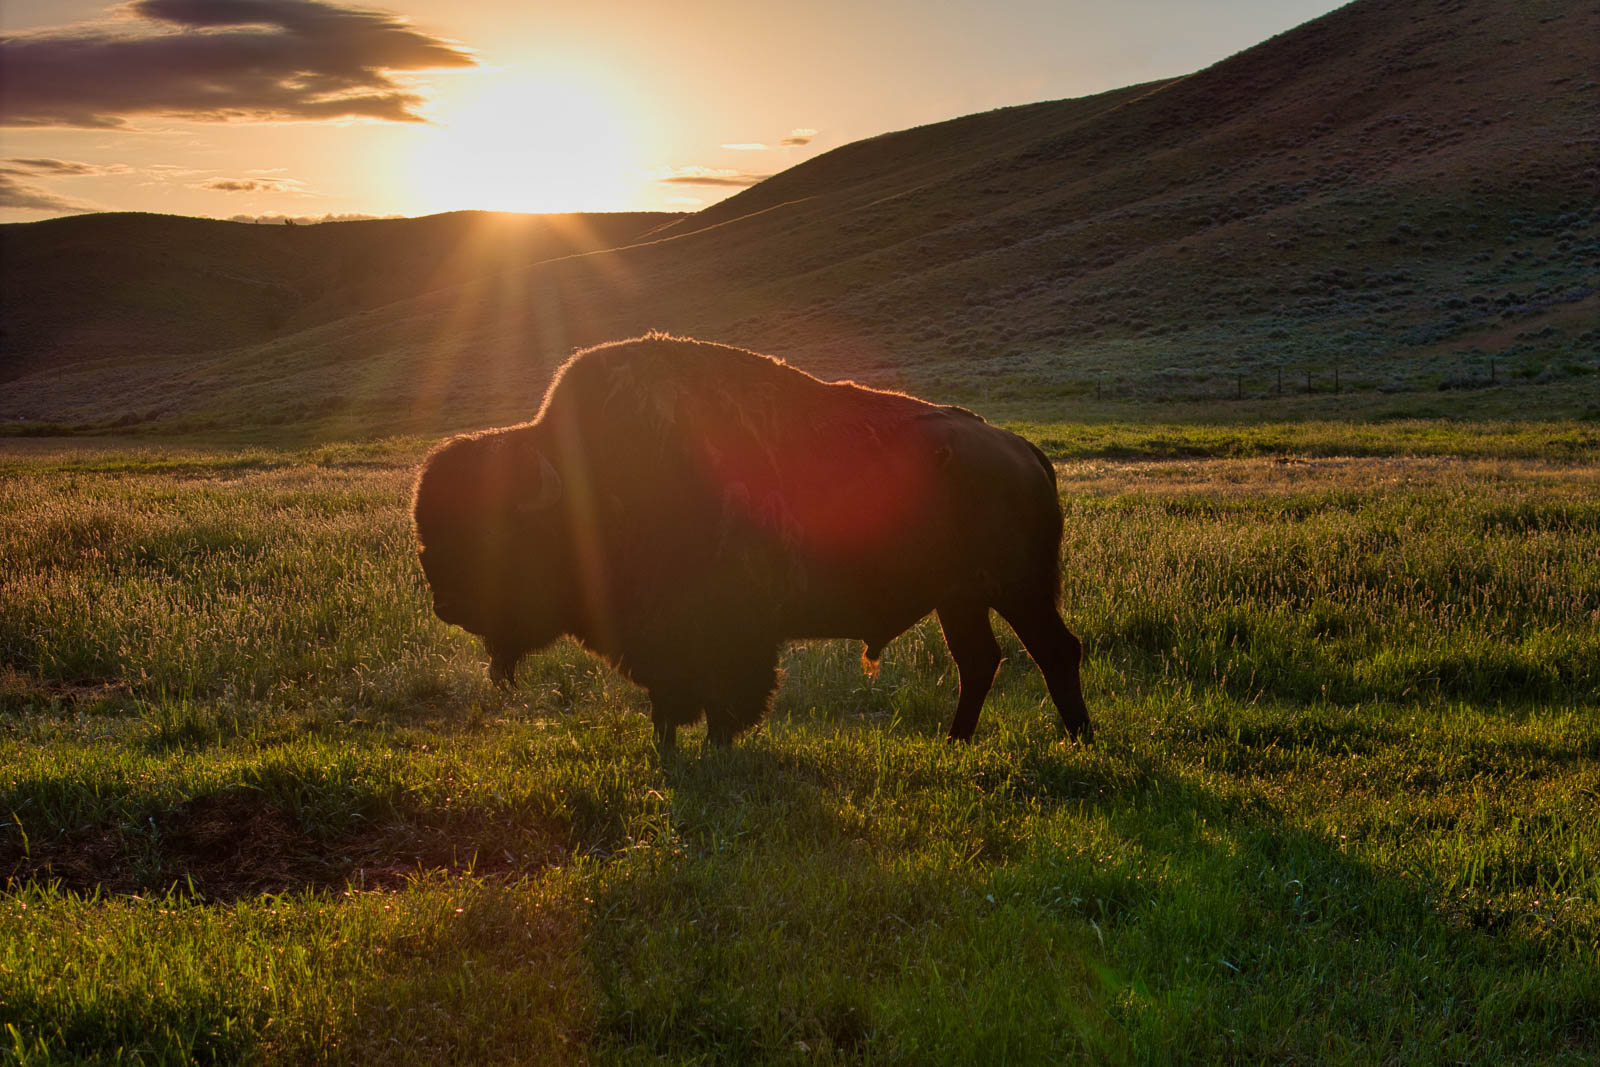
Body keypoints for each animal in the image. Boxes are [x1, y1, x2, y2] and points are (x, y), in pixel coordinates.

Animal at [413, 334, 1092, 749]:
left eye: (496, 533)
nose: (447, 604)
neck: (589, 484)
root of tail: (1024, 451)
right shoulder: (661, 643)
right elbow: (667, 701)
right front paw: (666, 749)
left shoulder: (728, 635)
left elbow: (723, 698)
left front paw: (715, 749)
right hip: (960, 599)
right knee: (979, 661)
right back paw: (956, 743)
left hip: (1019, 588)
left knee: (1056, 650)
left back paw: (1080, 741)